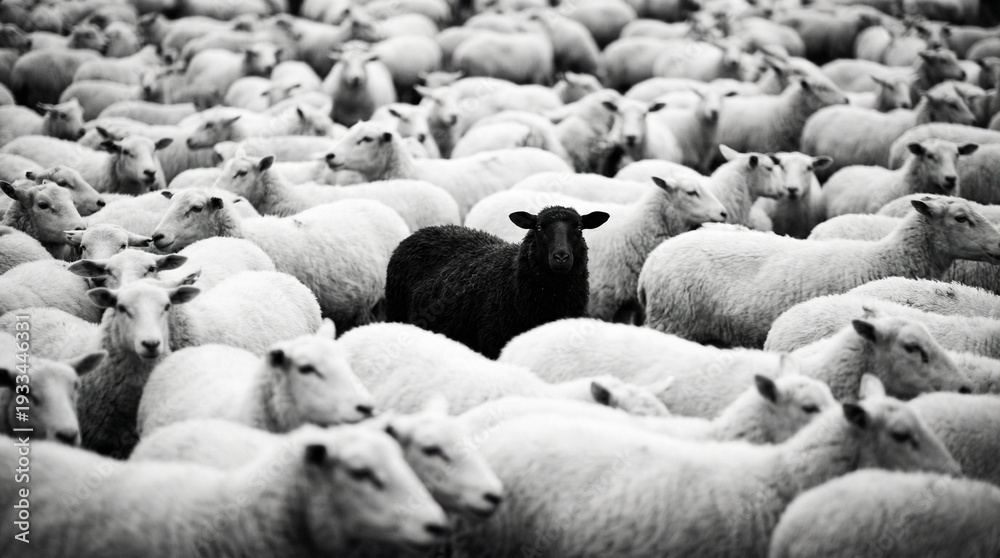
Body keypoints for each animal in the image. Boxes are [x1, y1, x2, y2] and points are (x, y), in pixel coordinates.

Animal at [151, 189, 407, 332]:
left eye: (196, 208)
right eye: (169, 204)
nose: (157, 236)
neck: (248, 236)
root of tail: (384, 208)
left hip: (380, 301)